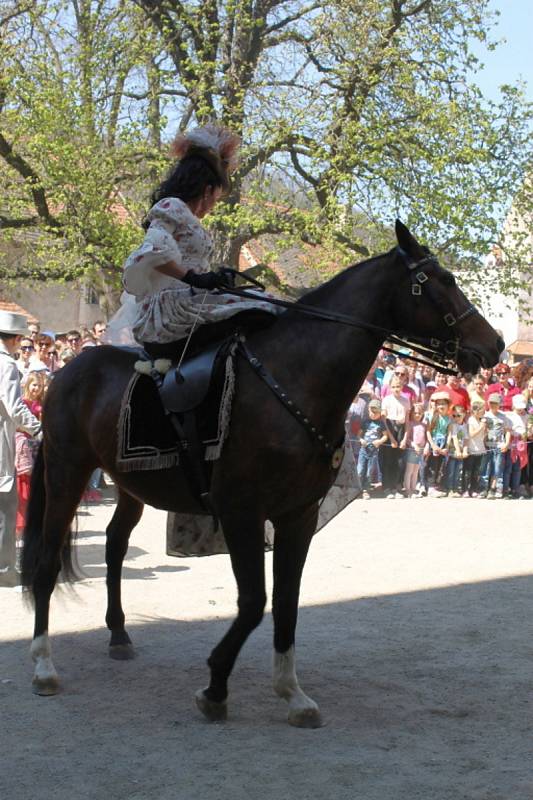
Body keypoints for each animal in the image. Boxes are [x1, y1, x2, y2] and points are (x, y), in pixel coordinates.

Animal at [21, 222, 502, 728]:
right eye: (442, 280)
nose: (494, 344)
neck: (292, 379)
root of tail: (70, 372)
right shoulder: (241, 512)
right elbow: (254, 602)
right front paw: (216, 685)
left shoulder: (298, 515)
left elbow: (287, 601)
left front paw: (292, 691)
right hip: (67, 473)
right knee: (47, 564)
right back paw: (44, 665)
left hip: (130, 482)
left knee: (114, 545)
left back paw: (118, 634)